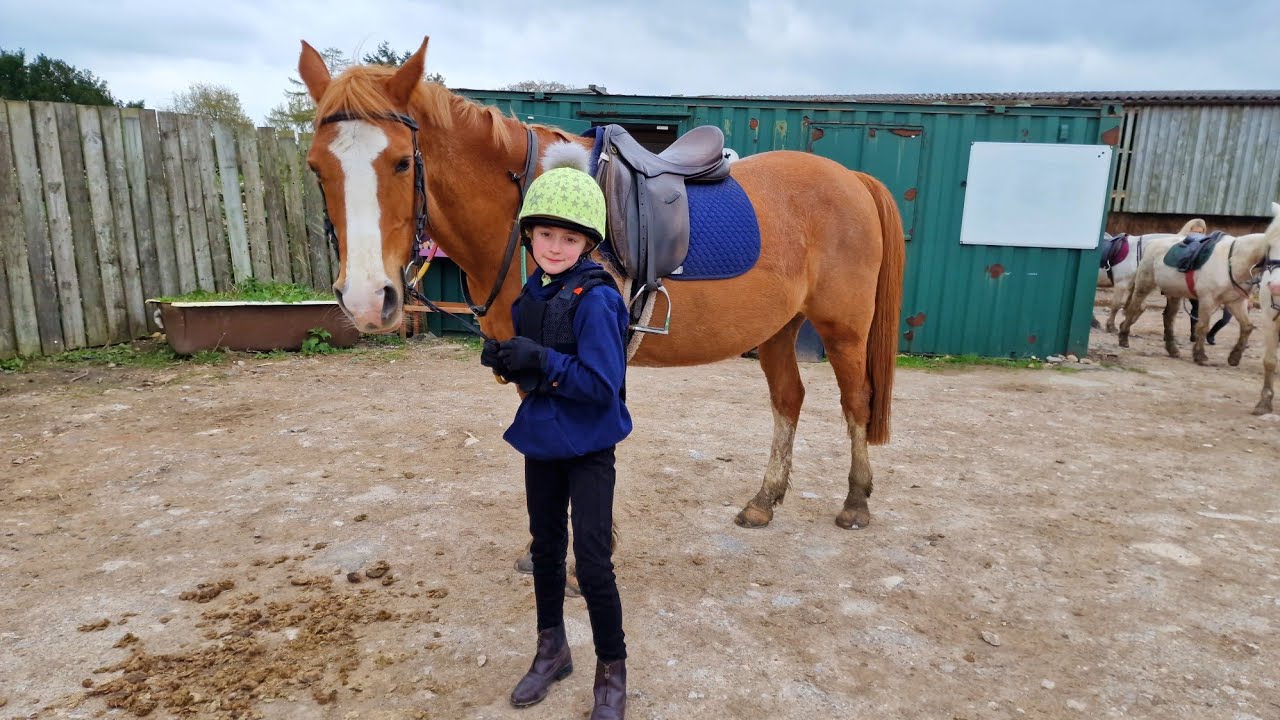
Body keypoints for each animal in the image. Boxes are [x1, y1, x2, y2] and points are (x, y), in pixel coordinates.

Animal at [297, 38, 906, 531]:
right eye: (315, 168)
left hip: (843, 328)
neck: (526, 213)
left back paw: (855, 502)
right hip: (779, 327)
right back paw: (764, 501)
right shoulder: (530, 361)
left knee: (855, 399)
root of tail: (852, 177)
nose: (366, 300)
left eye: (403, 162)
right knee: (788, 399)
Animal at [1118, 204, 1280, 368]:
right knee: (1133, 308)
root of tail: (1153, 243)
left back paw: (1172, 349)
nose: (1275, 286)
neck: (1234, 260)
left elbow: (1247, 326)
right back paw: (1123, 338)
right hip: (1144, 285)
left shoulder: (1236, 302)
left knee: (1169, 317)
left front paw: (1234, 357)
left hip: (1174, 292)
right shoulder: (1208, 300)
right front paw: (1200, 356)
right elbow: (1202, 326)